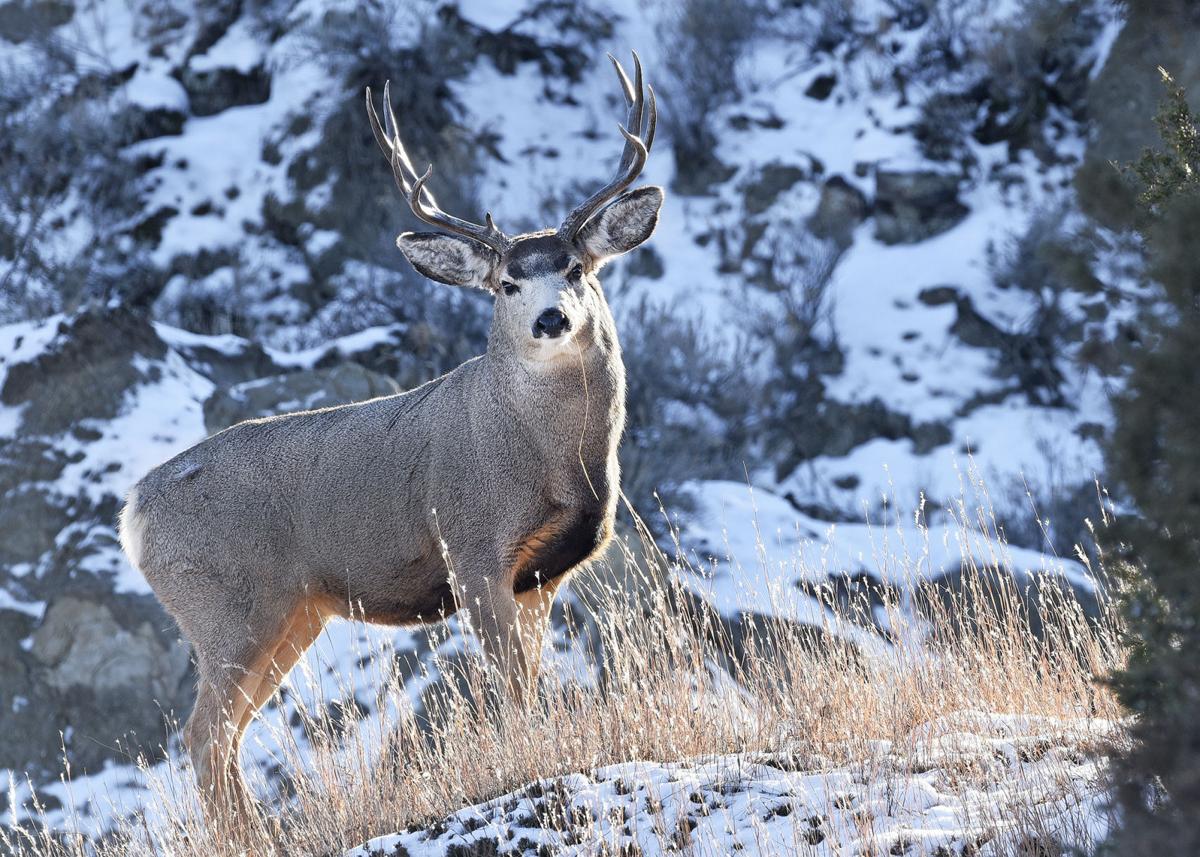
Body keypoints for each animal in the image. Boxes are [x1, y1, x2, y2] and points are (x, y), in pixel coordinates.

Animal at [117, 53, 661, 823]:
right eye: (504, 283)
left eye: (576, 267)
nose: (551, 318)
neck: (554, 462)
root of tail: (133, 510)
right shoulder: (470, 548)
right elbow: (511, 691)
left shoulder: (541, 576)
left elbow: (534, 683)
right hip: (226, 605)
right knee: (202, 735)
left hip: (291, 614)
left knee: (223, 736)